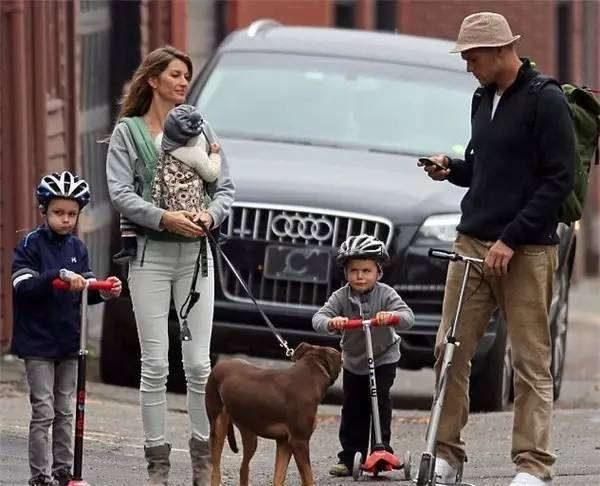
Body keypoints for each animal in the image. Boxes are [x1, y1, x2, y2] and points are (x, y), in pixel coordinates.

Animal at [206, 342, 340, 486]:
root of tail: (216, 367)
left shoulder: (284, 442)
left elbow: (279, 477)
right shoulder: (300, 441)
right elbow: (308, 478)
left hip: (249, 433)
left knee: (243, 467)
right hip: (218, 428)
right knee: (215, 470)